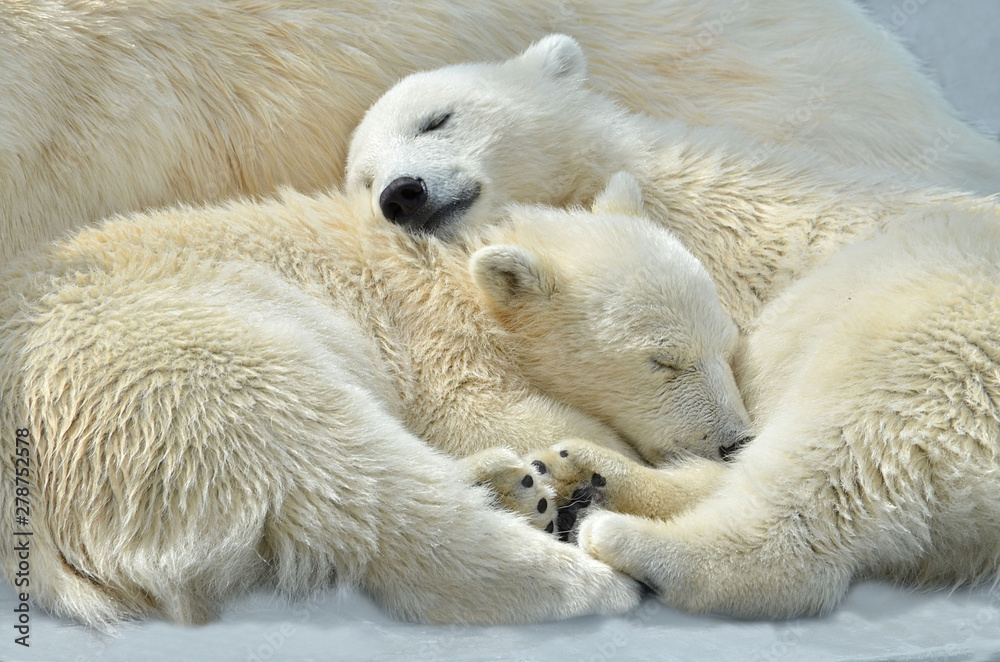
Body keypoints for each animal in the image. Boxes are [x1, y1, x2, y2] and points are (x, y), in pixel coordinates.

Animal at [0, 174, 750, 628]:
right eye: (663, 360)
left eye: (726, 342)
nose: (733, 439)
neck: (454, 271)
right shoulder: (430, 340)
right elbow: (486, 410)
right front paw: (592, 463)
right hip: (175, 371)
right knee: (351, 473)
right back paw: (585, 572)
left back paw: (510, 485)